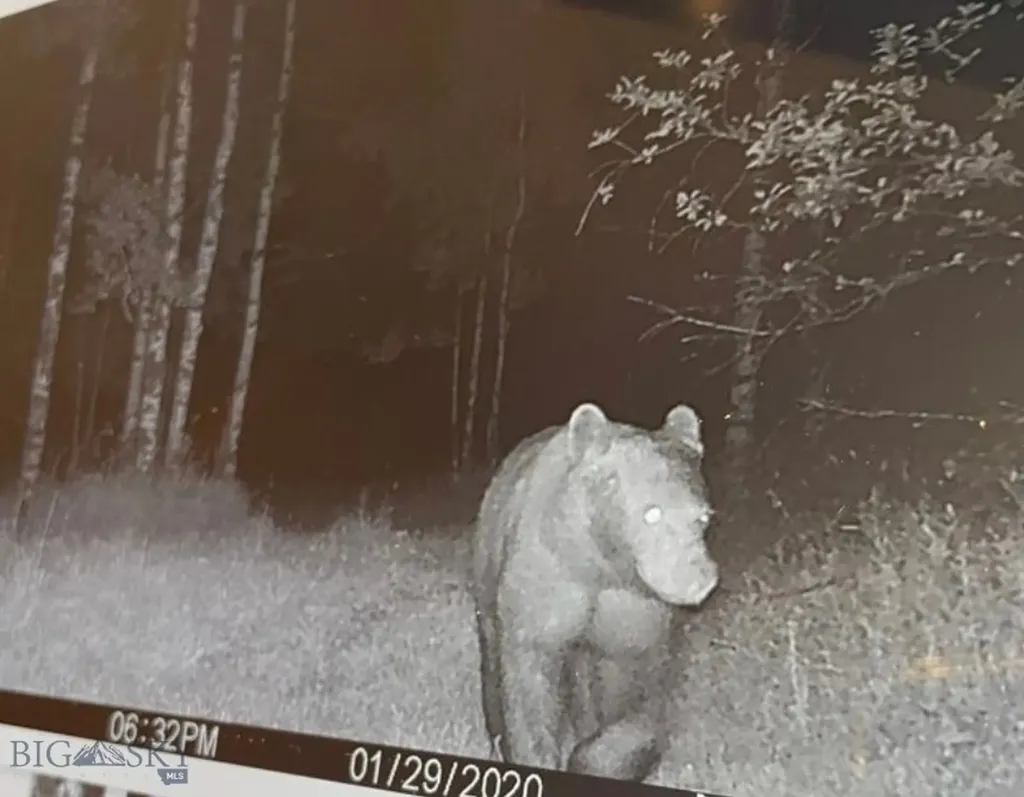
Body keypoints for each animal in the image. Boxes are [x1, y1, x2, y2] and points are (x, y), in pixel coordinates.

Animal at [470, 400, 719, 783]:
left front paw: (592, 758)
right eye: (651, 512)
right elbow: (529, 682)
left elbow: (639, 699)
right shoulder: (547, 581)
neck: (601, 565)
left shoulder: (632, 610)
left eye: (703, 517)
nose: (698, 578)